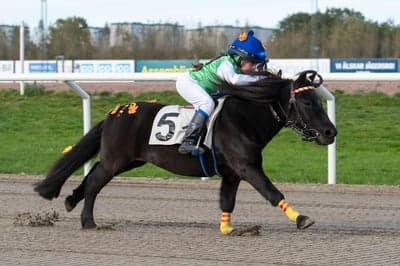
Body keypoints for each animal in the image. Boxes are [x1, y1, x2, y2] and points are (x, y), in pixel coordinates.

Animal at [34, 69, 336, 234]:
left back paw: (71, 200)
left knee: (93, 172)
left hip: (128, 161)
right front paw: (302, 218)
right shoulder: (247, 166)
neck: (243, 118)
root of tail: (115, 112)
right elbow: (272, 192)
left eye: (320, 100)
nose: (330, 132)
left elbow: (227, 201)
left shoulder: (232, 171)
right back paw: (88, 222)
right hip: (117, 160)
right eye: (307, 102)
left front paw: (229, 229)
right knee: (96, 181)